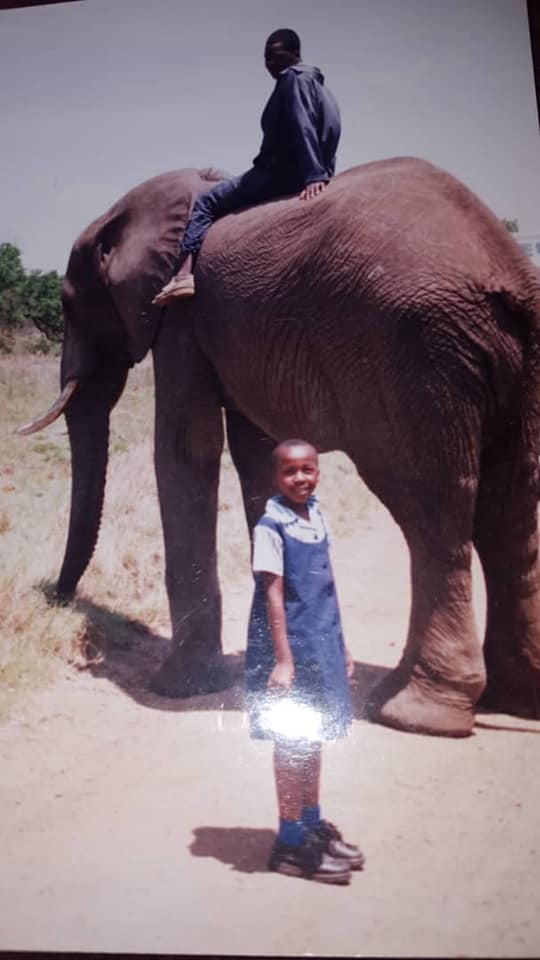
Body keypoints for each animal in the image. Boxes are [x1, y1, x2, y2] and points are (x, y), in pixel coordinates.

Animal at [20, 158, 540, 740]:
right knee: (510, 509)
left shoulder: (180, 315)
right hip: (514, 357)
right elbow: (257, 451)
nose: (56, 597)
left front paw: (179, 686)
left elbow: (186, 449)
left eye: (69, 305)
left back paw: (415, 712)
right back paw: (509, 698)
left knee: (432, 510)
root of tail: (504, 266)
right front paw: (273, 666)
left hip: (417, 357)